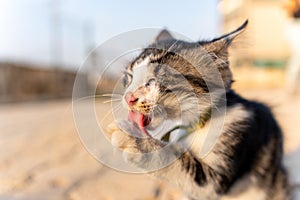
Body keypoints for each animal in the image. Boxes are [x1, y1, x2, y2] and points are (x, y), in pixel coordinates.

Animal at [106, 20, 290, 200]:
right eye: (129, 77)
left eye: (154, 80)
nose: (128, 97)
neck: (197, 125)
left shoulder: (227, 157)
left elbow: (186, 168)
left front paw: (135, 139)